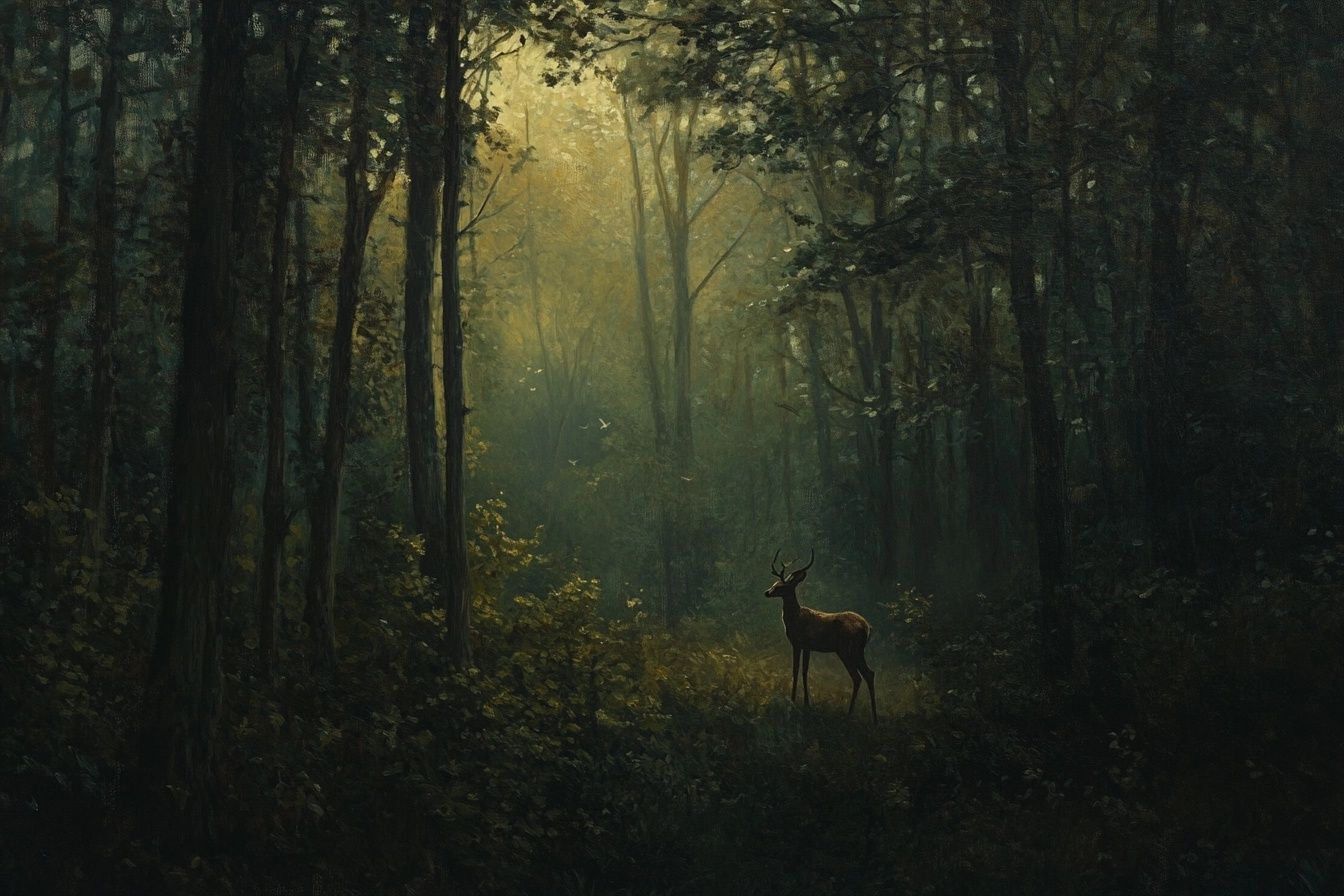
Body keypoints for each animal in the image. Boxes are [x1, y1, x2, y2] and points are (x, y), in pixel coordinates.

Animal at [765, 549, 876, 723]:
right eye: (774, 584)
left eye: (781, 586)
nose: (767, 592)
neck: (795, 618)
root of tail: (867, 627)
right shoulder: (808, 647)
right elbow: (805, 671)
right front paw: (805, 703)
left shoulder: (798, 643)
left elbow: (796, 670)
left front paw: (793, 700)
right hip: (858, 650)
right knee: (869, 673)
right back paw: (874, 719)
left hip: (845, 649)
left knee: (857, 677)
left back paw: (849, 714)